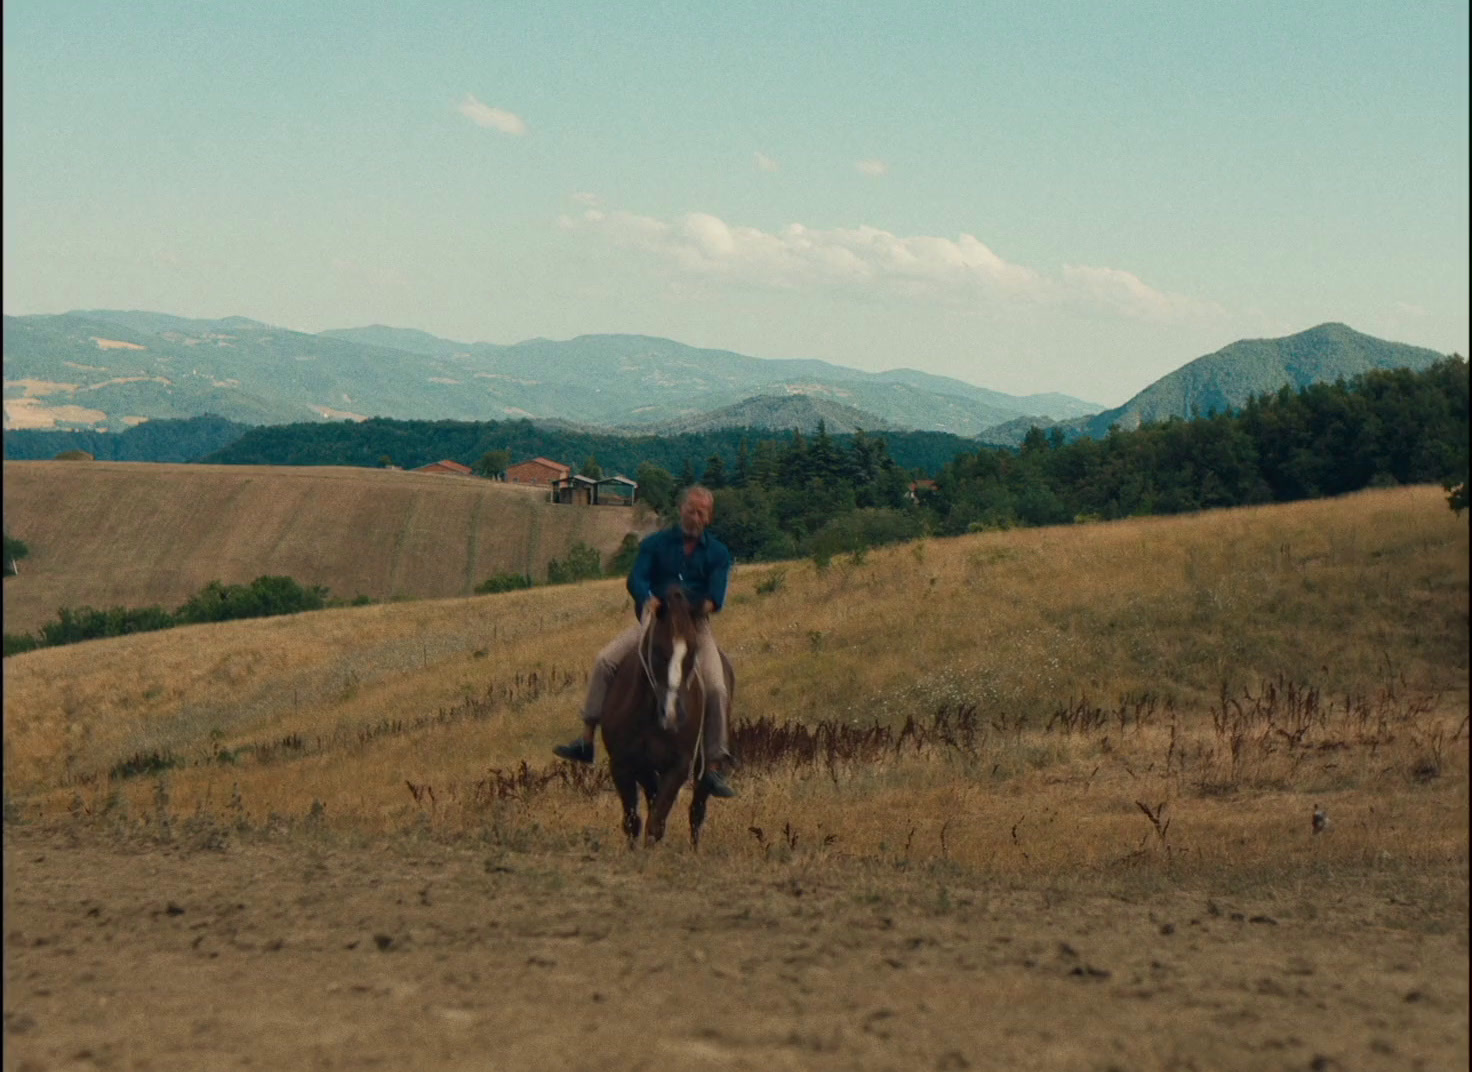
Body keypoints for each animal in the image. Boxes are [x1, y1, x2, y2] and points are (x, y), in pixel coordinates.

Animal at [597, 586, 736, 848]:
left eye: (693, 651)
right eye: (657, 650)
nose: (672, 714)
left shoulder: (678, 767)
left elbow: (656, 822)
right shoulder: (623, 764)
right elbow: (634, 821)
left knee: (697, 811)